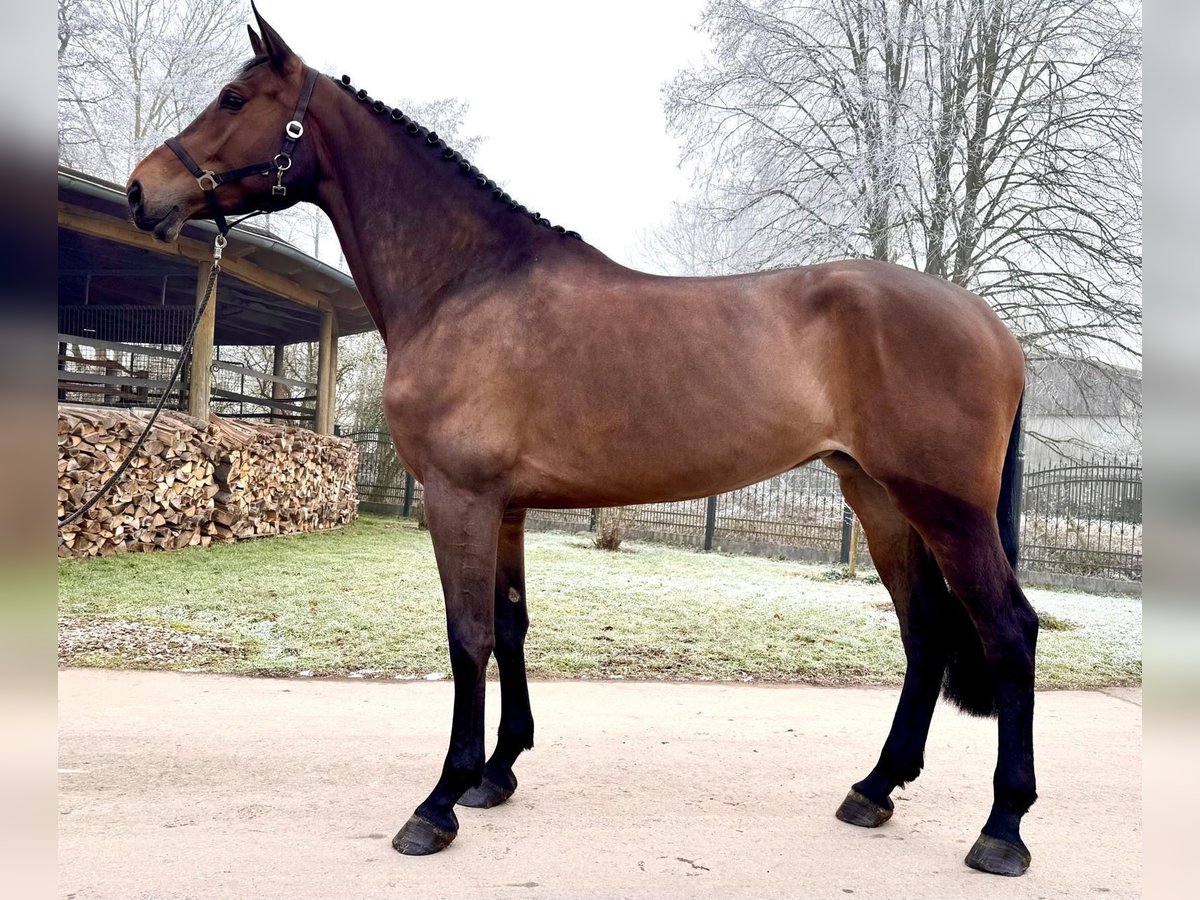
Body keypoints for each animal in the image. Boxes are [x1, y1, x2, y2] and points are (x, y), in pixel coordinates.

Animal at [126, 7, 1036, 883]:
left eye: (235, 100)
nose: (141, 190)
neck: (466, 284)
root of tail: (995, 329)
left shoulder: (461, 499)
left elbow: (468, 637)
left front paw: (440, 802)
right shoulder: (506, 510)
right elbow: (511, 626)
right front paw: (497, 773)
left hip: (945, 509)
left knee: (1007, 629)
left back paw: (1002, 830)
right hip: (877, 498)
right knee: (925, 634)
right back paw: (874, 789)